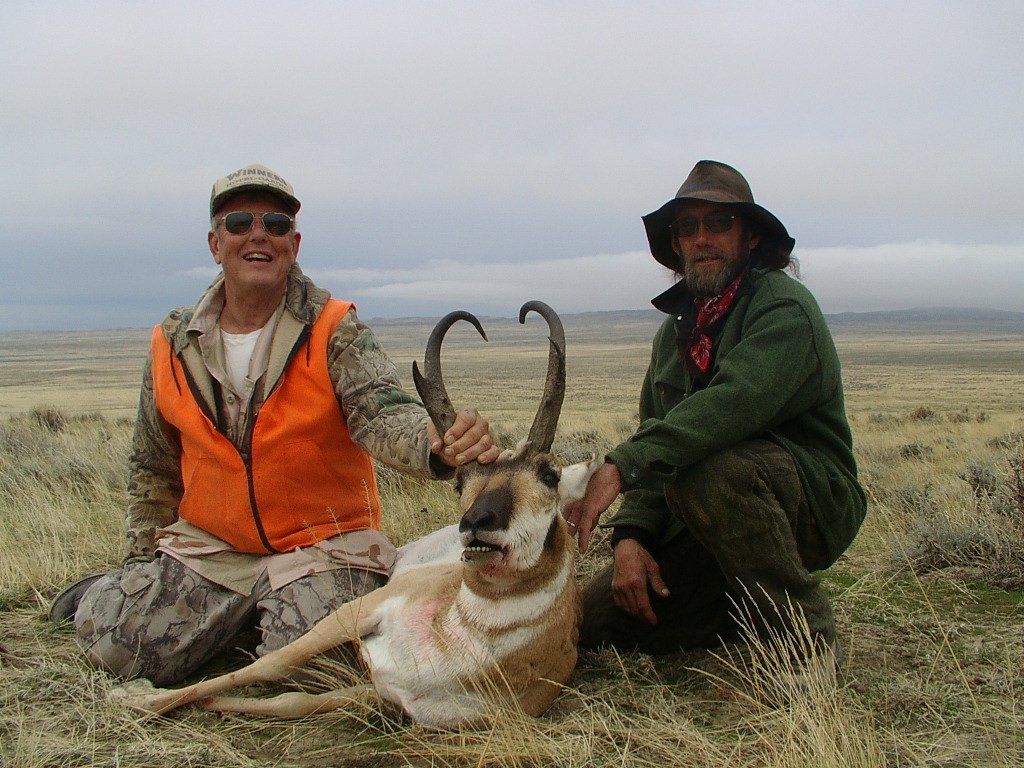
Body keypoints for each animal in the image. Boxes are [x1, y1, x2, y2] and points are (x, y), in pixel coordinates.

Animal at [110, 301, 598, 729]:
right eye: (460, 482)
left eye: (550, 474)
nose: (477, 523)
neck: (458, 638)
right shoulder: (356, 613)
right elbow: (271, 668)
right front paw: (136, 696)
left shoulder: (381, 693)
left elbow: (289, 702)